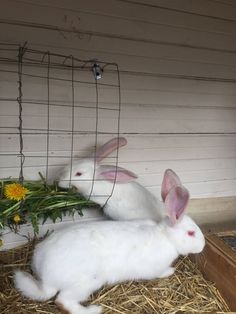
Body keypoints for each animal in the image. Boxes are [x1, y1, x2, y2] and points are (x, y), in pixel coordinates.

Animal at [13, 184, 205, 314]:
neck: (165, 236)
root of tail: (46, 279)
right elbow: (160, 273)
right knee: (63, 302)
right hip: (88, 282)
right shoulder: (154, 269)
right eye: (191, 233)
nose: (203, 245)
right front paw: (170, 271)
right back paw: (94, 309)